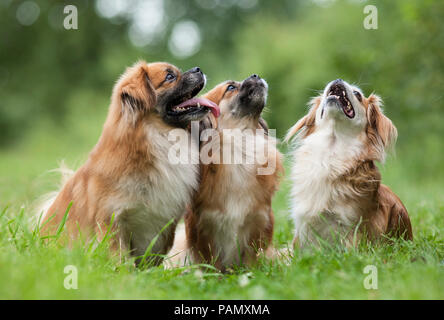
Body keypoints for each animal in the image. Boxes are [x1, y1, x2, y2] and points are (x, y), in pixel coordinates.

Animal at [40, 60, 220, 264]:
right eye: (170, 77)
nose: (198, 69)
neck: (158, 138)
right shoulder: (112, 221)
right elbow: (119, 257)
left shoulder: (163, 225)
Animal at [166, 75, 284, 270]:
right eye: (230, 88)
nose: (255, 76)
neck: (240, 147)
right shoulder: (204, 228)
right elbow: (210, 261)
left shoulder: (259, 223)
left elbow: (251, 259)